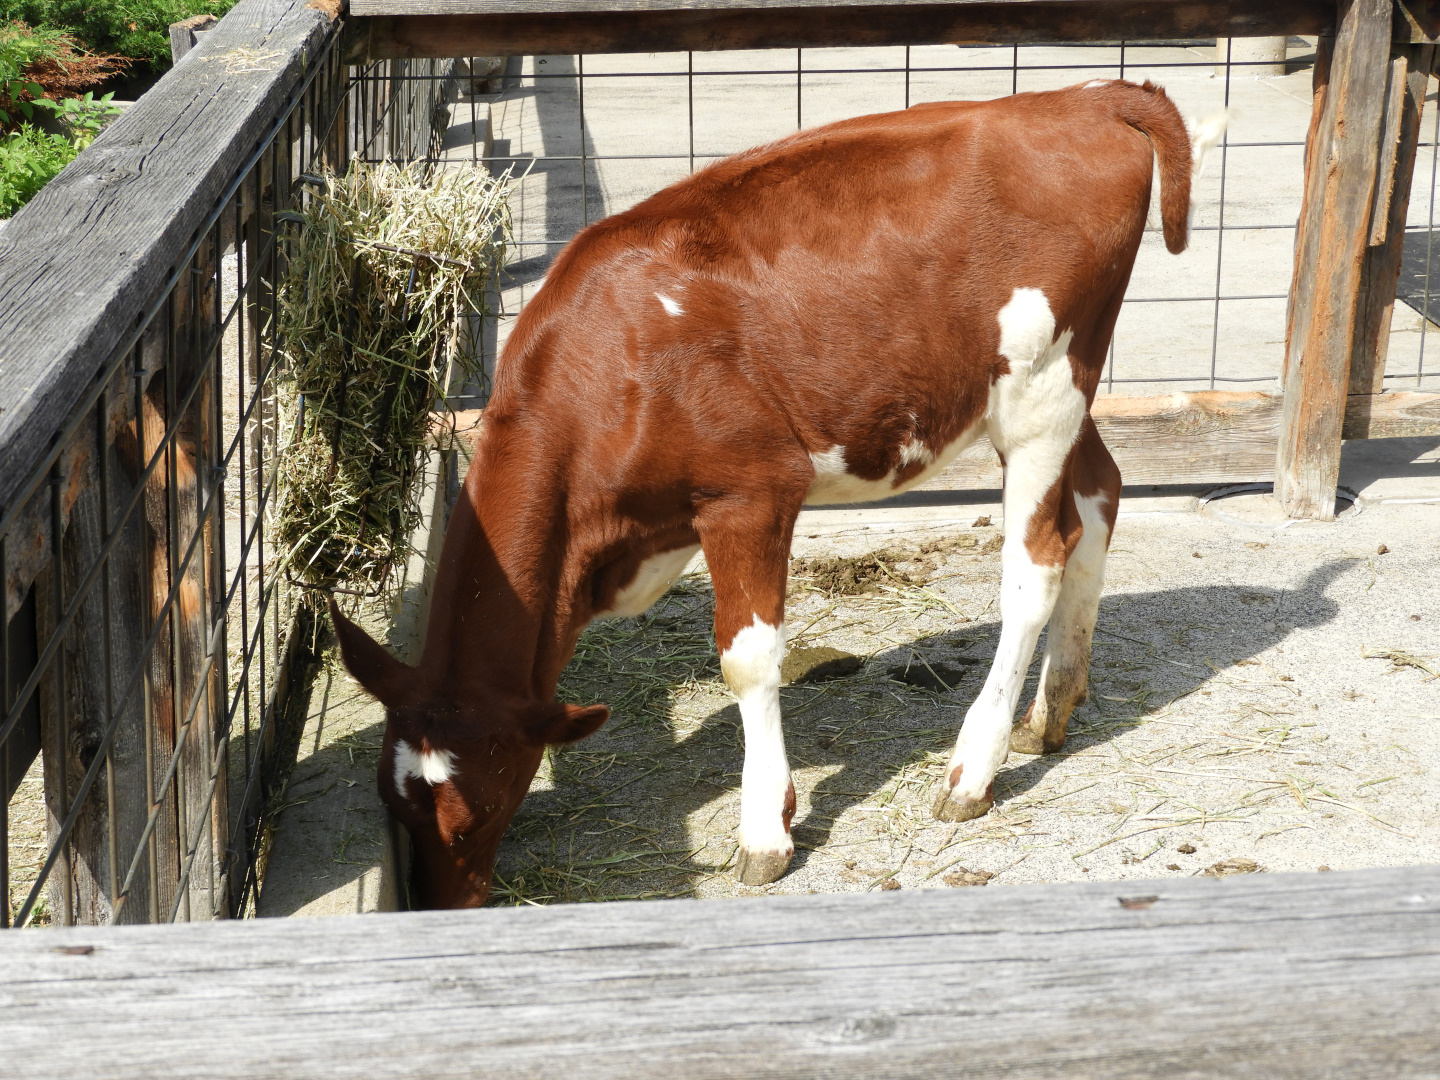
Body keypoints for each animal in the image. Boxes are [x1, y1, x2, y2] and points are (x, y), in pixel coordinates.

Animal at [330, 79, 1209, 908]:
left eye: (475, 813)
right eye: (394, 804)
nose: (441, 906)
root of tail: (1081, 100)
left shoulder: (747, 494)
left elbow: (747, 662)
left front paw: (764, 830)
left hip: (1040, 391)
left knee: (1037, 564)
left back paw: (972, 769)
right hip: (1052, 391)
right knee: (1099, 496)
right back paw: (1051, 710)